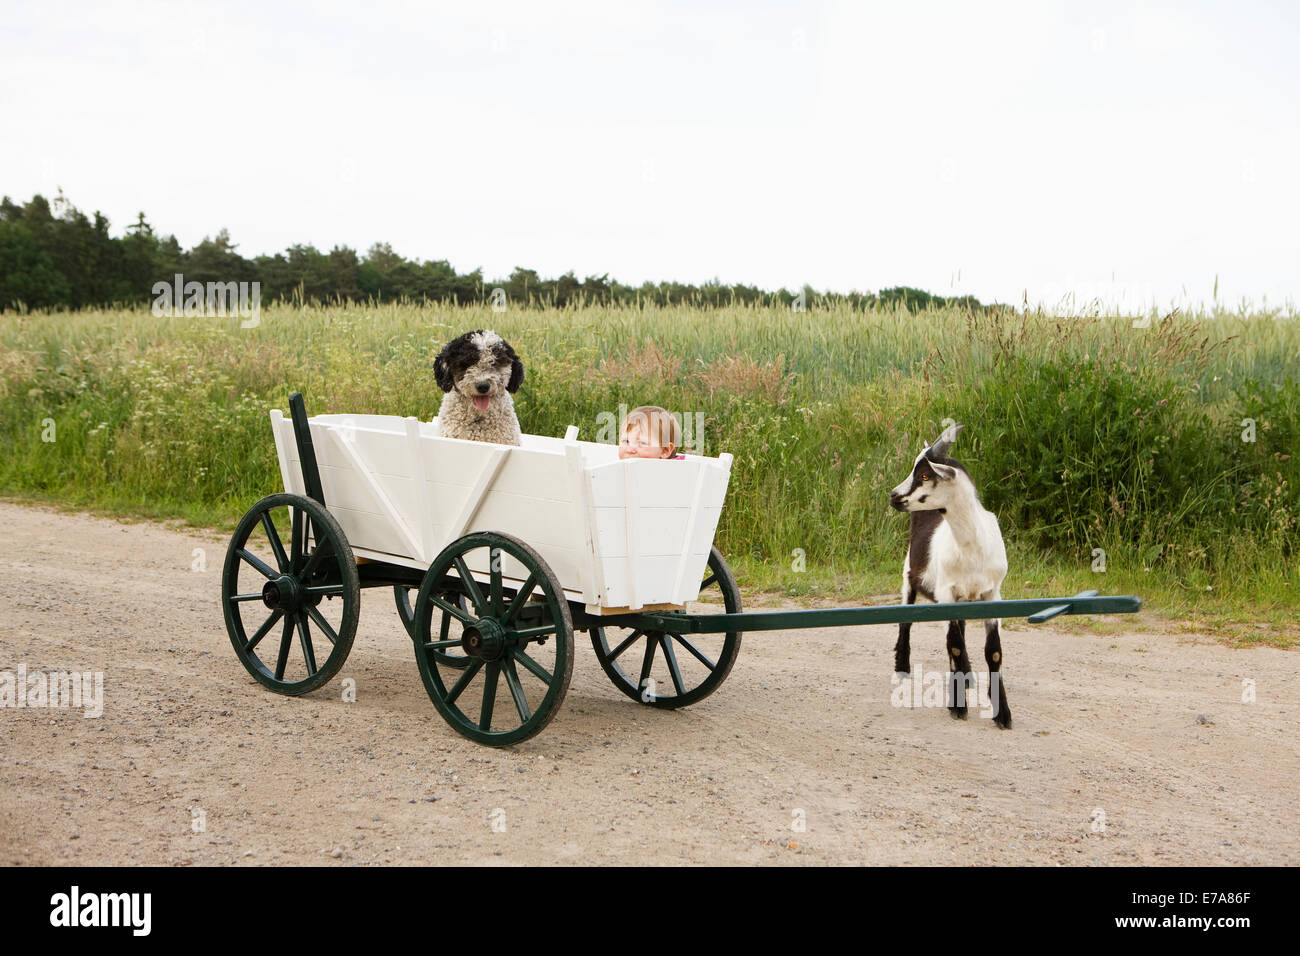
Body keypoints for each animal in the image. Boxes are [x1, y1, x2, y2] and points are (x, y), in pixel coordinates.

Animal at [889, 421, 1008, 728]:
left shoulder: (993, 593)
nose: (894, 495)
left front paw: (1002, 713)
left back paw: (966, 676)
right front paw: (957, 706)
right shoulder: (945, 591)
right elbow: (953, 645)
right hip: (909, 574)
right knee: (906, 620)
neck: (972, 546)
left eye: (925, 474)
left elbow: (993, 650)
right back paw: (903, 667)